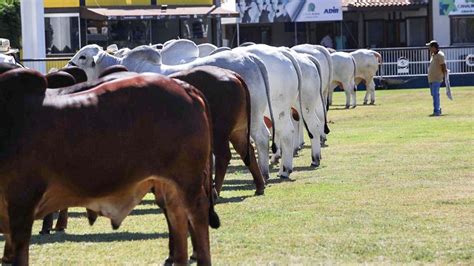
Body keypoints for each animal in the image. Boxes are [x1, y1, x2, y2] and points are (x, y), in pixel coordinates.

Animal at [0, 68, 218, 264]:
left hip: (188, 181)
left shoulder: (22, 202)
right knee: (177, 217)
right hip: (168, 185)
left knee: (197, 215)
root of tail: (184, 87)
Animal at [70, 44, 276, 180]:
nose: (68, 65)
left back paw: (264, 173)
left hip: (252, 115)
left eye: (82, 56)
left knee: (261, 137)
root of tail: (250, 58)